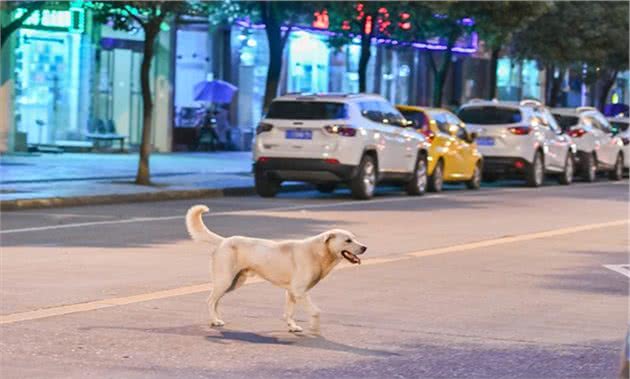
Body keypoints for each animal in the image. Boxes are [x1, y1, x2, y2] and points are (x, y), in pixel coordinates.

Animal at [185, 205, 368, 332]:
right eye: (348, 240)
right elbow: (316, 311)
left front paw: (292, 327)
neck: (319, 252)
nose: (365, 247)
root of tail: (224, 241)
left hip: (234, 283)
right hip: (225, 281)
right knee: (210, 300)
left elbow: (289, 312)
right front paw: (315, 328)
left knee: (215, 301)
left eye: (354, 238)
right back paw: (214, 321)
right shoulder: (299, 291)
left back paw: (216, 319)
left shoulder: (292, 292)